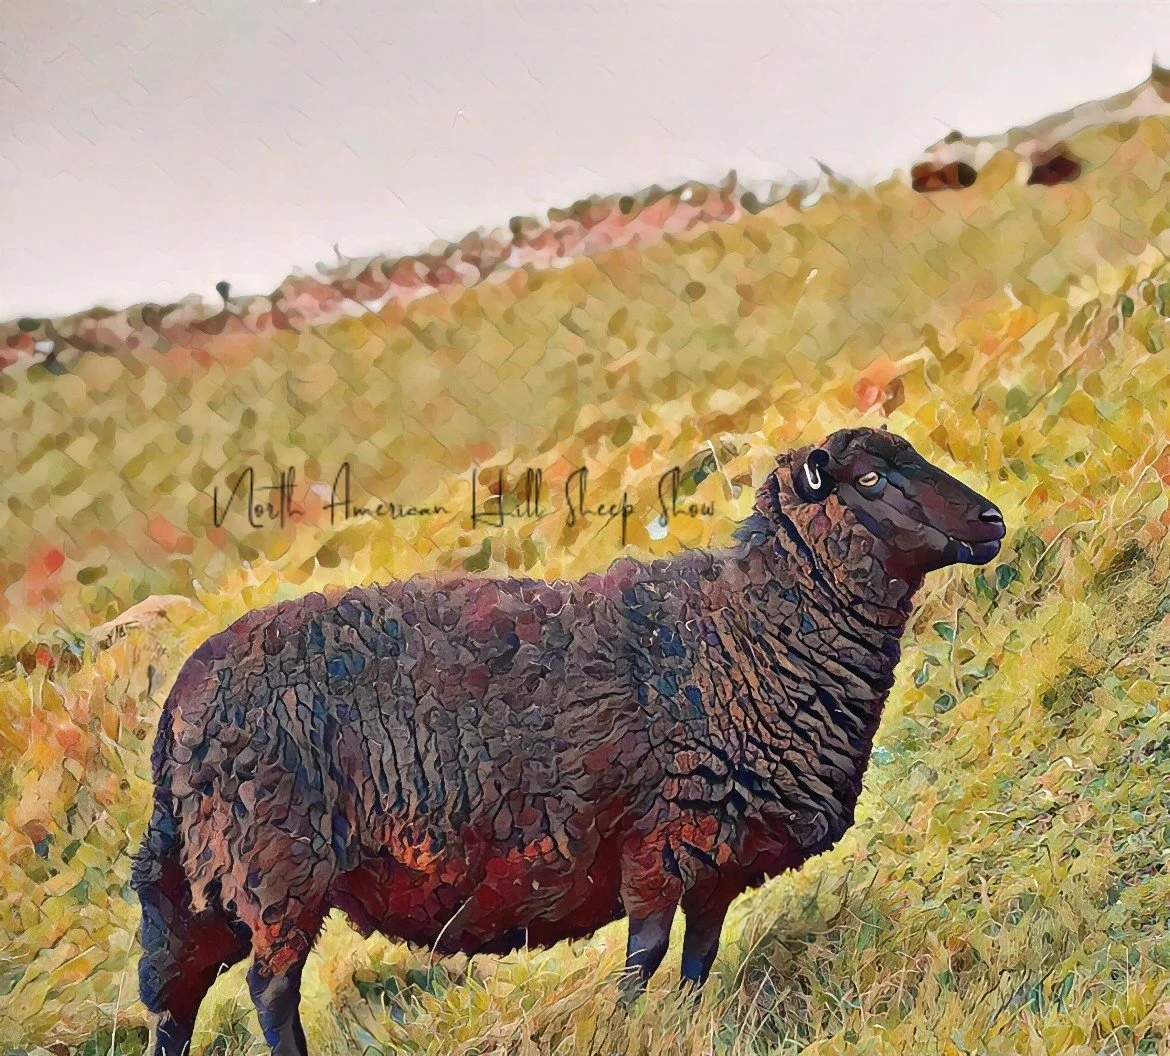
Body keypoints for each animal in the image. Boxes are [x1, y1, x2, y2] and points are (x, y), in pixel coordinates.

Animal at [131, 425, 1006, 1056]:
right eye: (870, 480)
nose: (993, 522)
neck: (741, 636)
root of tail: (180, 699)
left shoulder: (717, 854)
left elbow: (698, 960)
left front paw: (685, 1026)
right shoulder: (660, 839)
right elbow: (644, 955)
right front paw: (626, 1026)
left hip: (211, 878)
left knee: (175, 995)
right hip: (277, 865)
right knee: (268, 993)